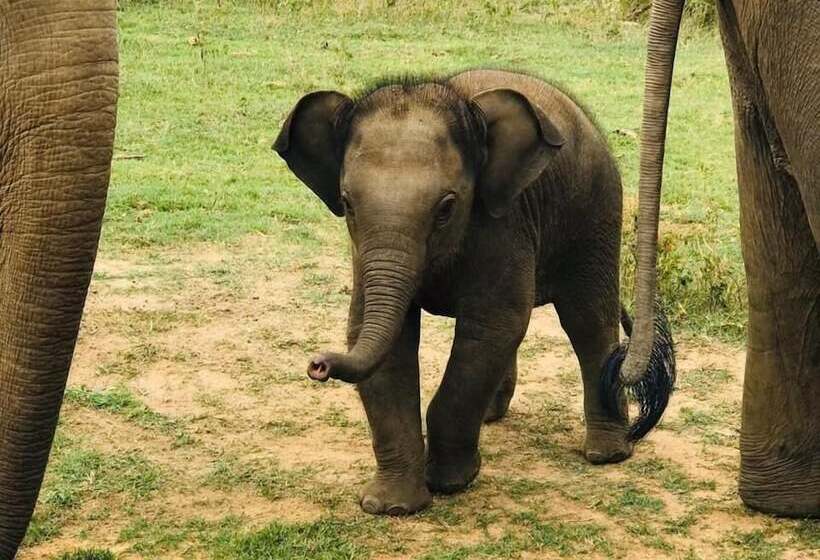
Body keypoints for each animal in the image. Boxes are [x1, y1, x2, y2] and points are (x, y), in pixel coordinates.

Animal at [274, 69, 675, 515]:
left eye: (447, 207)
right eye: (347, 203)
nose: (317, 365)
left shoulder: (502, 222)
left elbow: (491, 325)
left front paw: (451, 482)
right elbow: (378, 336)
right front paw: (391, 506)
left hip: (595, 209)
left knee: (586, 319)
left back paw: (607, 454)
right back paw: (491, 418)